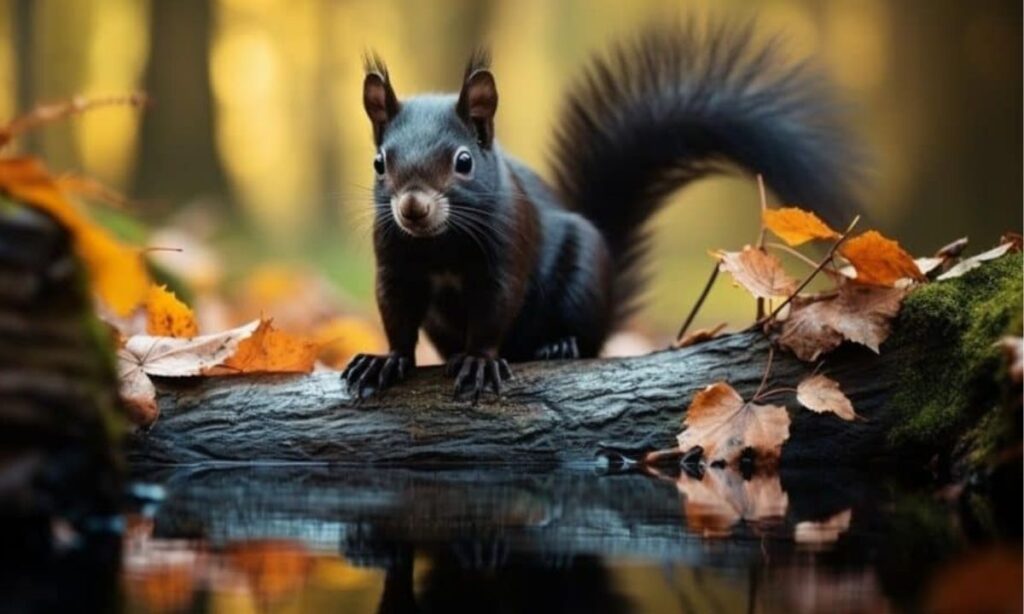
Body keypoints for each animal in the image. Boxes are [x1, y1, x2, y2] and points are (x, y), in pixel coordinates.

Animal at [342, 20, 856, 399]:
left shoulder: (505, 255)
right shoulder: (394, 266)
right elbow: (396, 315)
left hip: (583, 275)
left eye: (464, 162)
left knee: (586, 340)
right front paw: (387, 360)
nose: (412, 208)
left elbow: (493, 311)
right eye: (379, 162)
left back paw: (559, 345)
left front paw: (480, 361)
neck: (440, 246)